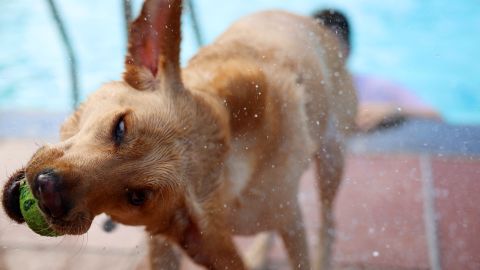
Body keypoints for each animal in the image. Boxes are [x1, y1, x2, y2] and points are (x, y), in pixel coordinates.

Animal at [2, 1, 356, 268]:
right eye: (121, 127)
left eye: (137, 196)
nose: (47, 190)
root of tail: (319, 26)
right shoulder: (161, 245)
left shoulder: (291, 223)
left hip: (332, 162)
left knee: (328, 221)